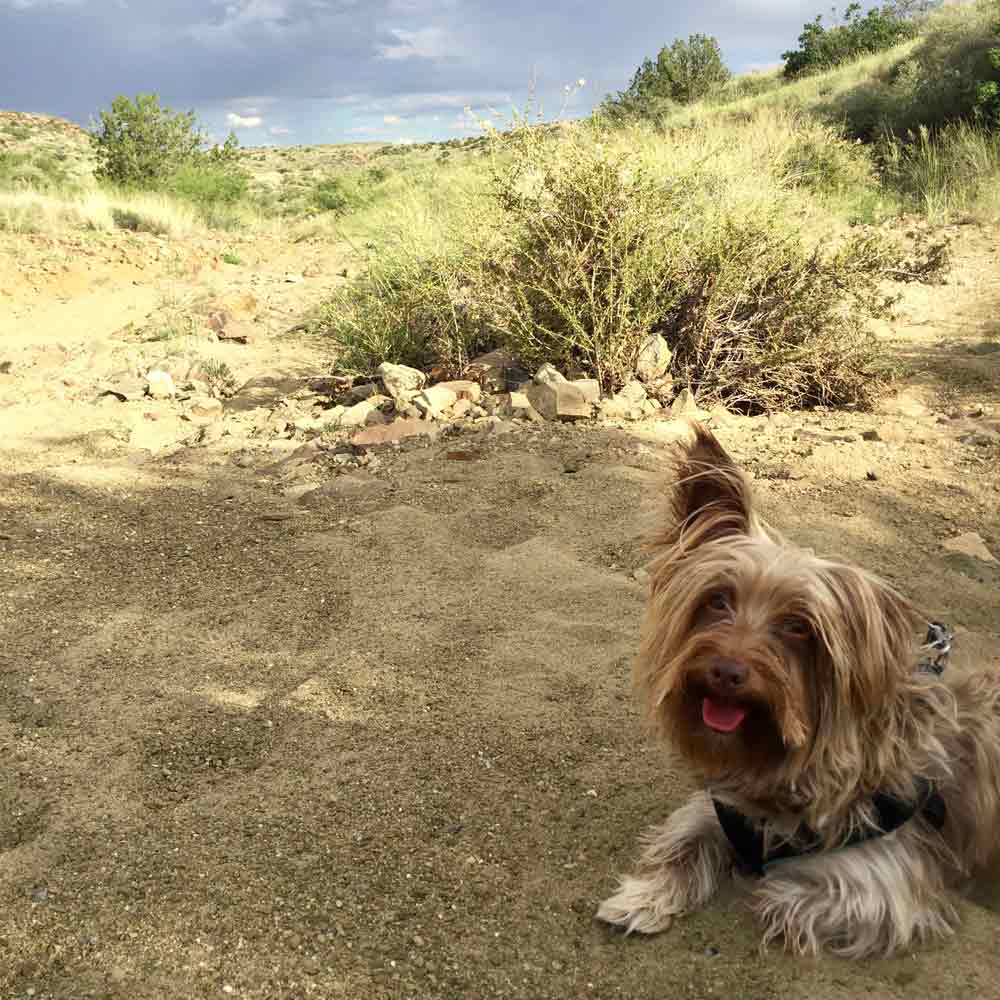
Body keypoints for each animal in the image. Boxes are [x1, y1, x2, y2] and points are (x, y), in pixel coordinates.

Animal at [596, 422, 996, 952]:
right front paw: (642, 898)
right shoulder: (720, 809)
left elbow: (778, 894)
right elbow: (686, 836)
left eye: (798, 627)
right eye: (717, 599)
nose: (727, 671)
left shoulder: (877, 881)